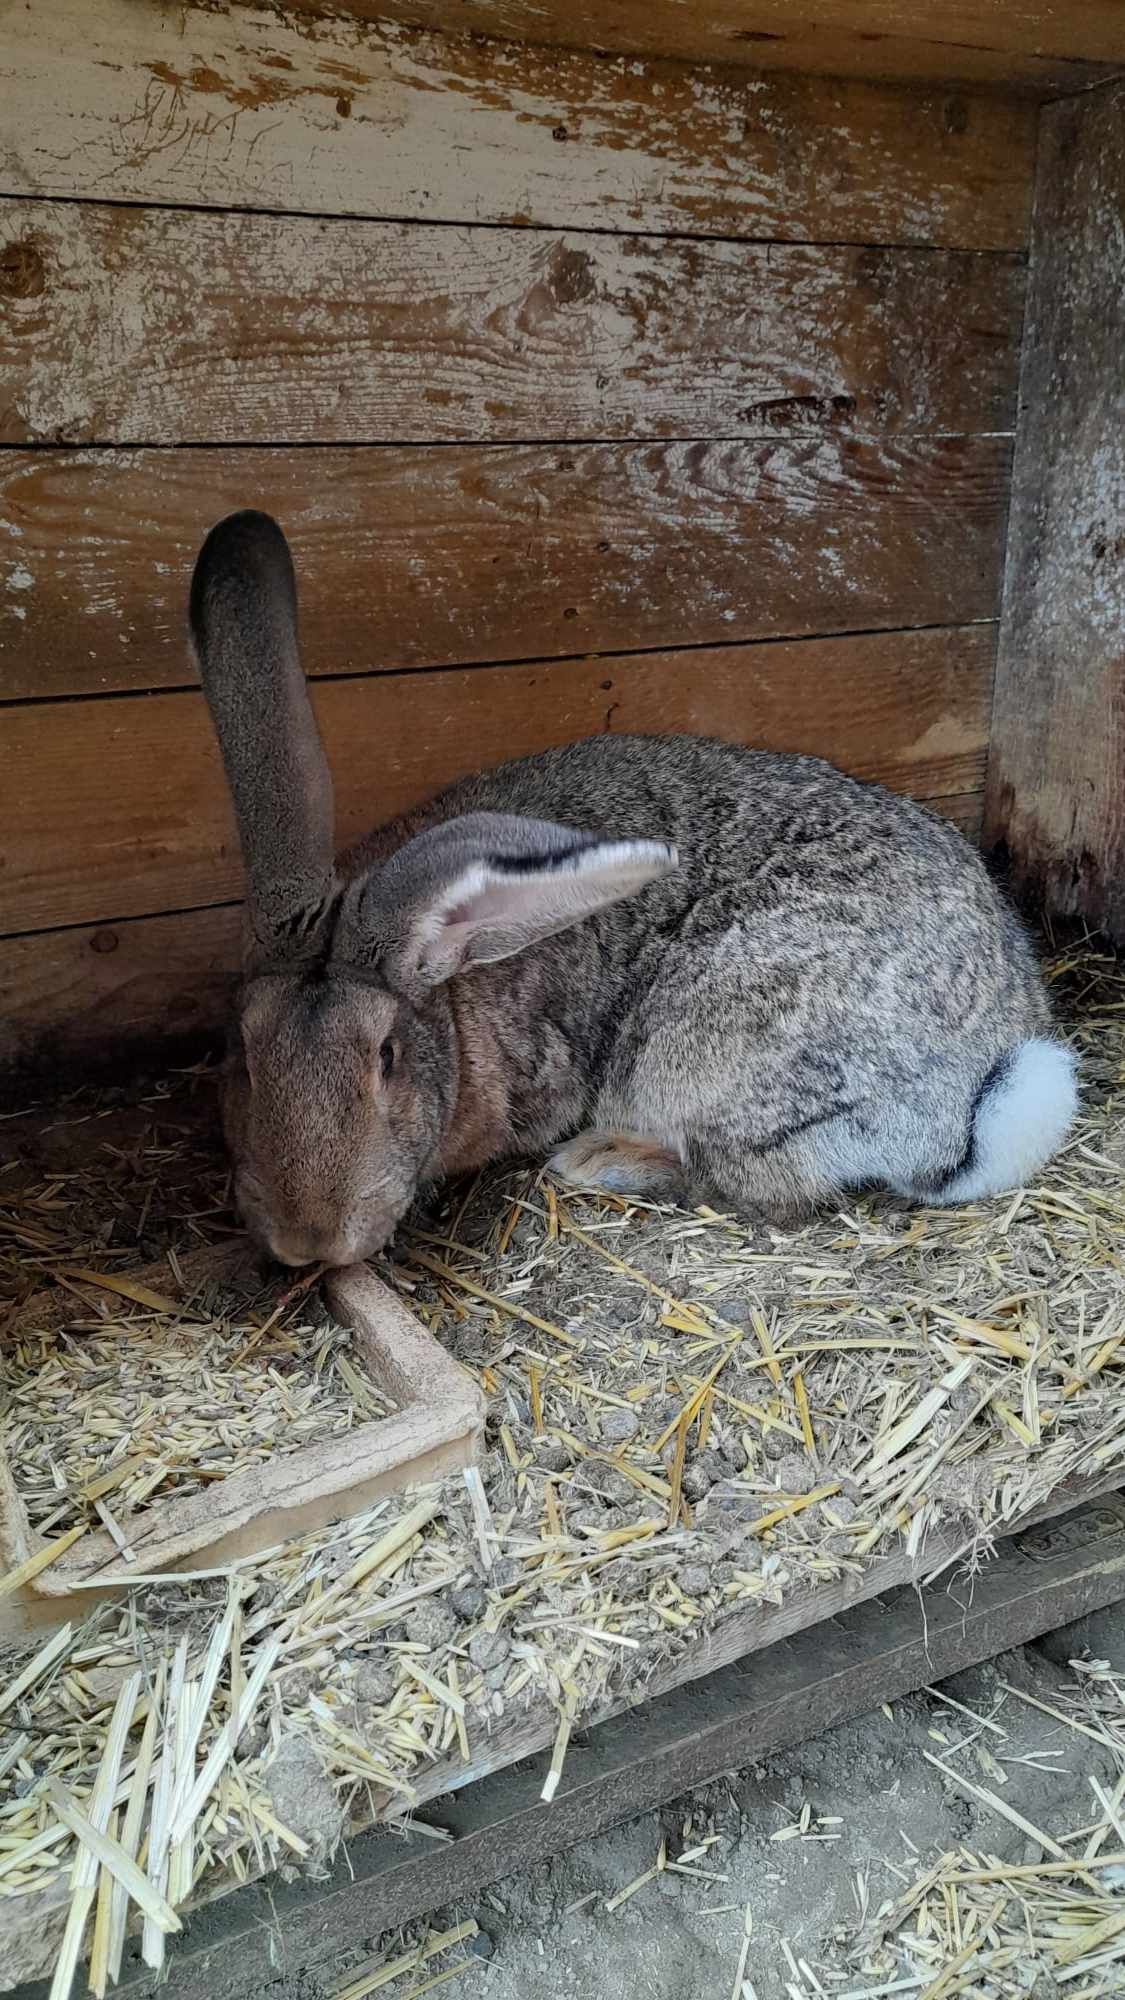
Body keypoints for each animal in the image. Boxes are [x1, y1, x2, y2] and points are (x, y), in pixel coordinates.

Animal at [188, 512, 1072, 1264]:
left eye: (386, 1058)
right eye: (241, 1055)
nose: (306, 1241)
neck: (454, 981)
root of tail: (972, 1102)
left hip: (703, 1057)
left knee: (752, 1185)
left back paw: (598, 1159)